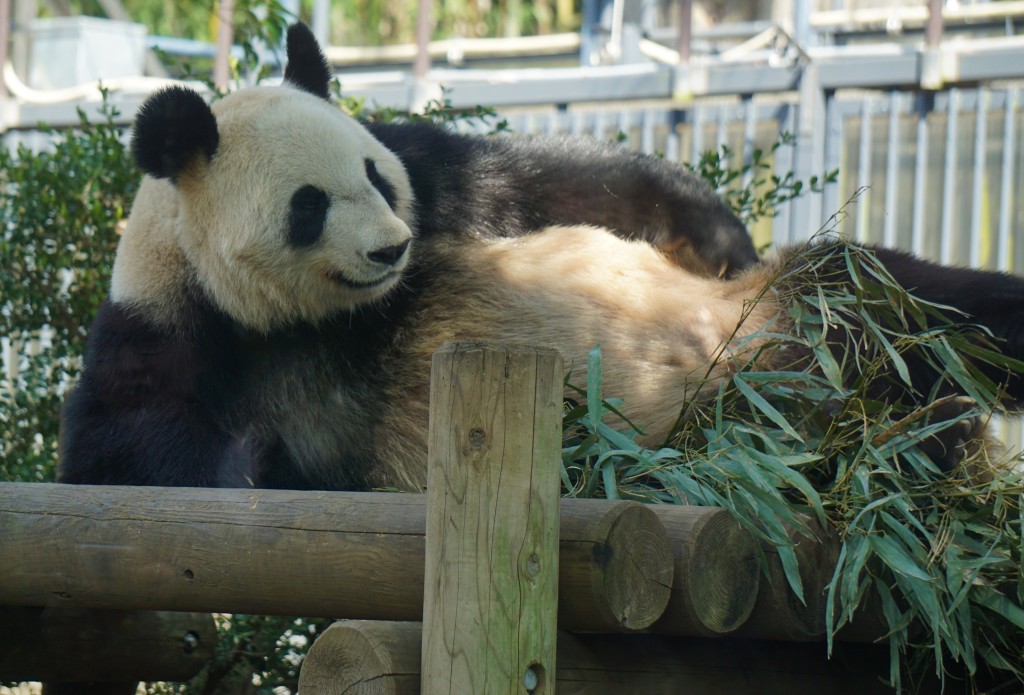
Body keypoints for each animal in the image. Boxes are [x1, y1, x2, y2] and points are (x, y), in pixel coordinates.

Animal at [58, 24, 1024, 491]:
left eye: (373, 175)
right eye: (308, 205)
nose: (391, 246)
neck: (332, 314)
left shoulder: (446, 191)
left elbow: (559, 179)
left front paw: (717, 232)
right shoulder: (169, 333)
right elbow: (129, 460)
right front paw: (255, 463)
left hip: (806, 304)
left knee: (928, 301)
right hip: (713, 426)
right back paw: (917, 436)